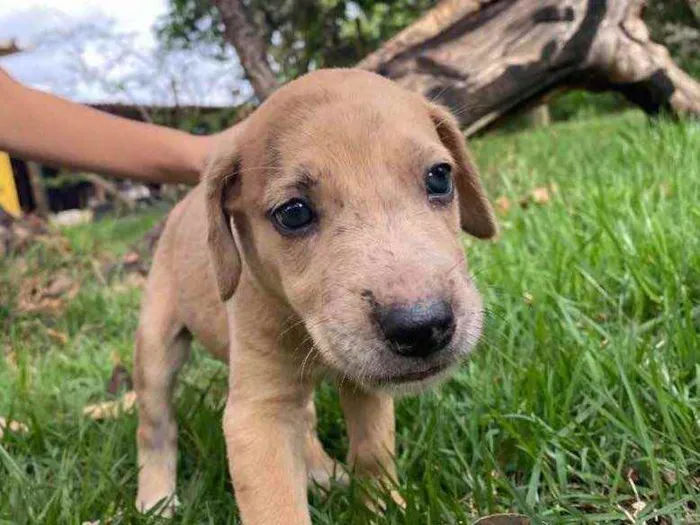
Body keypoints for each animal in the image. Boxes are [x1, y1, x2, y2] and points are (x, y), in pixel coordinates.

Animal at [134, 69, 494, 524]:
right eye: (294, 213)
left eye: (440, 177)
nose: (422, 327)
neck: (306, 326)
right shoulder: (258, 415)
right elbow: (277, 508)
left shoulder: (366, 387)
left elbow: (373, 452)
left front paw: (383, 508)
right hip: (155, 351)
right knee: (155, 425)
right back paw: (156, 498)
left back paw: (321, 471)